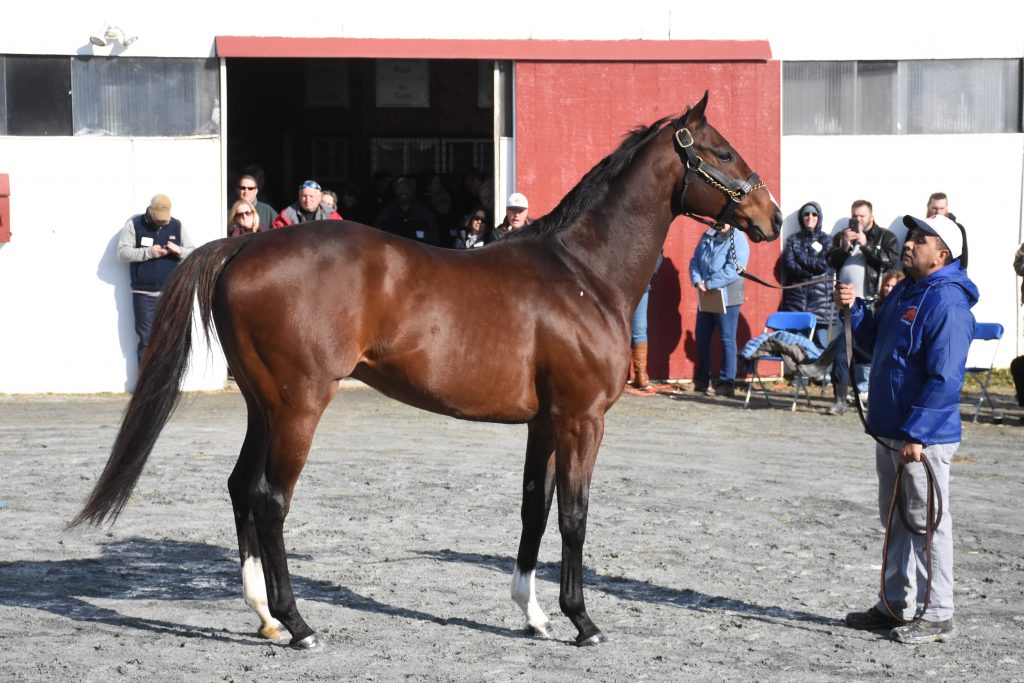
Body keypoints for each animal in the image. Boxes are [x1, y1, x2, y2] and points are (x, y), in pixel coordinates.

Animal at [70, 92, 774, 651]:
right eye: (723, 152)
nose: (769, 215)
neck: (581, 275)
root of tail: (243, 246)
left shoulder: (545, 423)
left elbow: (534, 509)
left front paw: (533, 616)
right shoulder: (582, 421)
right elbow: (574, 515)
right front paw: (583, 622)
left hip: (263, 406)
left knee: (242, 488)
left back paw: (265, 618)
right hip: (299, 406)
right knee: (270, 500)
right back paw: (299, 626)